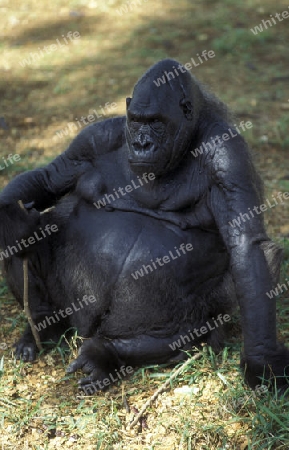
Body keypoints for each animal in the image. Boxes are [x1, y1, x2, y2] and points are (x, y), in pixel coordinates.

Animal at [0, 59, 288, 394]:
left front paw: (261, 361)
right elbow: (46, 179)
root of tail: (86, 326)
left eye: (156, 122)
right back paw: (45, 324)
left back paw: (106, 354)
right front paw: (13, 221)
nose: (141, 144)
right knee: (25, 241)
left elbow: (248, 247)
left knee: (193, 327)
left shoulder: (228, 157)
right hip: (70, 305)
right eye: (137, 121)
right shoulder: (93, 138)